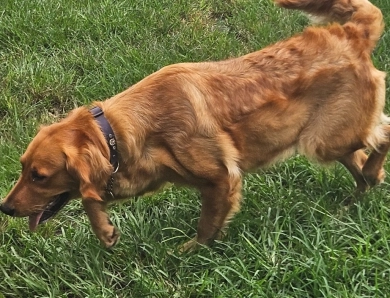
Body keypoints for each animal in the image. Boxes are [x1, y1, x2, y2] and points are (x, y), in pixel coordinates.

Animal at [0, 0, 386, 251]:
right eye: (22, 168)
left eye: (39, 176)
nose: (5, 208)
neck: (117, 130)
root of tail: (349, 32)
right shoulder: (138, 173)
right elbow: (90, 195)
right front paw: (104, 230)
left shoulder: (220, 178)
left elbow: (206, 226)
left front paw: (190, 253)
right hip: (332, 140)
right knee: (365, 163)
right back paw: (355, 196)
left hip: (325, 140)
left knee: (383, 136)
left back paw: (369, 175)